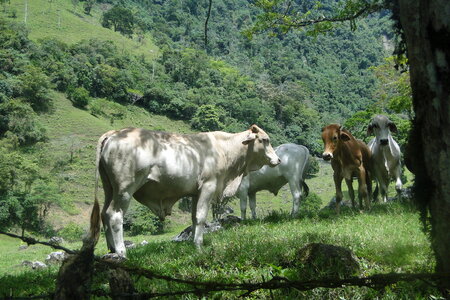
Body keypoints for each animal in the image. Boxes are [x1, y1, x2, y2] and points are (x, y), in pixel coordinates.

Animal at [95, 125, 280, 255]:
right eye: (265, 140)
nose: (278, 160)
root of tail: (114, 133)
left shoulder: (195, 192)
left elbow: (194, 218)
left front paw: (192, 243)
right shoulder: (208, 186)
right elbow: (201, 217)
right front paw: (199, 246)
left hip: (109, 189)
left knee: (104, 213)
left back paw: (111, 249)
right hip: (125, 189)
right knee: (114, 215)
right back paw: (121, 251)